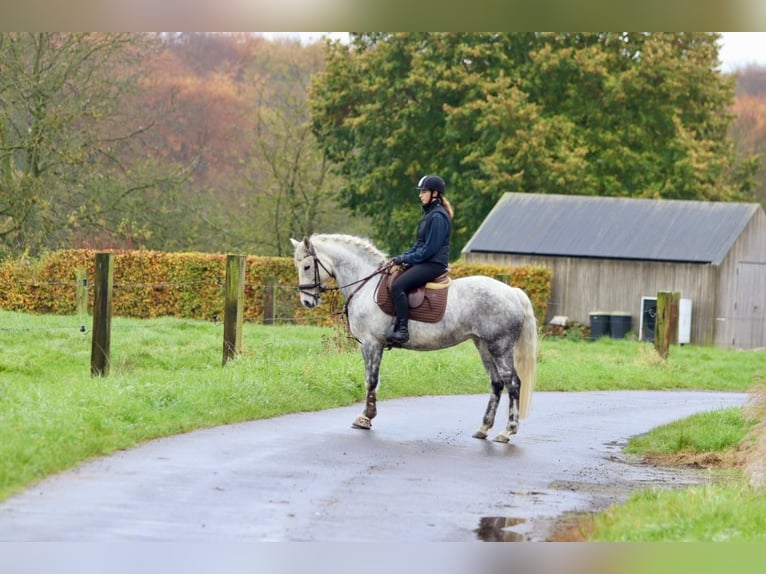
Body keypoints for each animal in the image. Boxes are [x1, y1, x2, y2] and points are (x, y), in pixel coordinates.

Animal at [292, 234, 536, 446]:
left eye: (306, 267)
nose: (307, 302)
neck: (367, 285)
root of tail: (512, 293)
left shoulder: (371, 344)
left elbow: (371, 380)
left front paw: (365, 418)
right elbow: (372, 380)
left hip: (500, 346)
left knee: (513, 383)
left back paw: (507, 432)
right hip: (483, 345)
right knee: (496, 383)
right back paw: (483, 429)